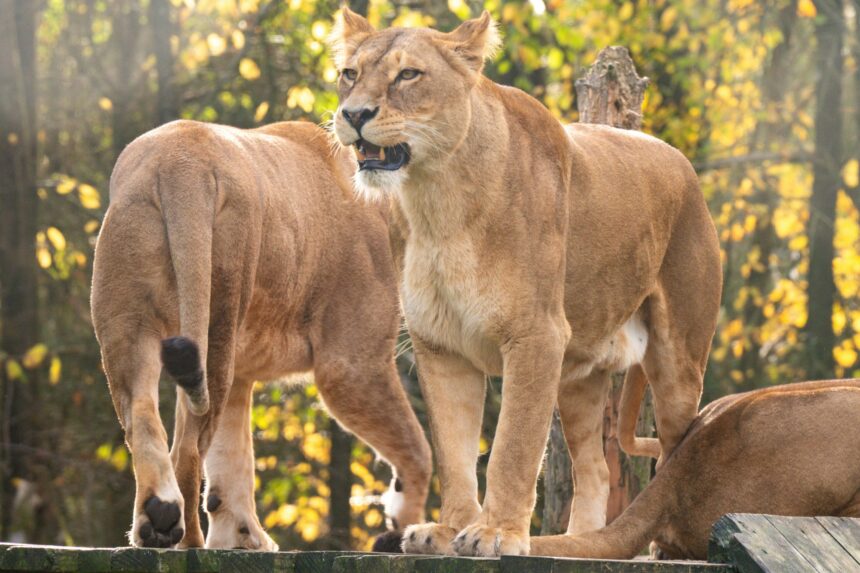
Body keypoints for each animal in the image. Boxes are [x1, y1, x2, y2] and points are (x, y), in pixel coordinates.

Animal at [91, 120, 431, 550]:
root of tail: (181, 163)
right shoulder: (354, 365)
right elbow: (418, 450)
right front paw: (403, 527)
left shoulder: (241, 374)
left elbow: (231, 461)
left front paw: (241, 536)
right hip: (219, 313)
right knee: (187, 451)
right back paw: (188, 543)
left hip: (131, 323)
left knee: (141, 415)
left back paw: (157, 523)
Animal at [330, 9, 721, 556]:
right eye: (350, 74)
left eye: (408, 75)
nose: (353, 114)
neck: (436, 200)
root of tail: (679, 160)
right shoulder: (439, 346)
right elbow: (453, 452)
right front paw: (447, 531)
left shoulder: (536, 335)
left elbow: (512, 447)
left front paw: (496, 533)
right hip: (579, 380)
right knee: (596, 470)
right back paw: (578, 543)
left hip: (678, 368)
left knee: (673, 452)